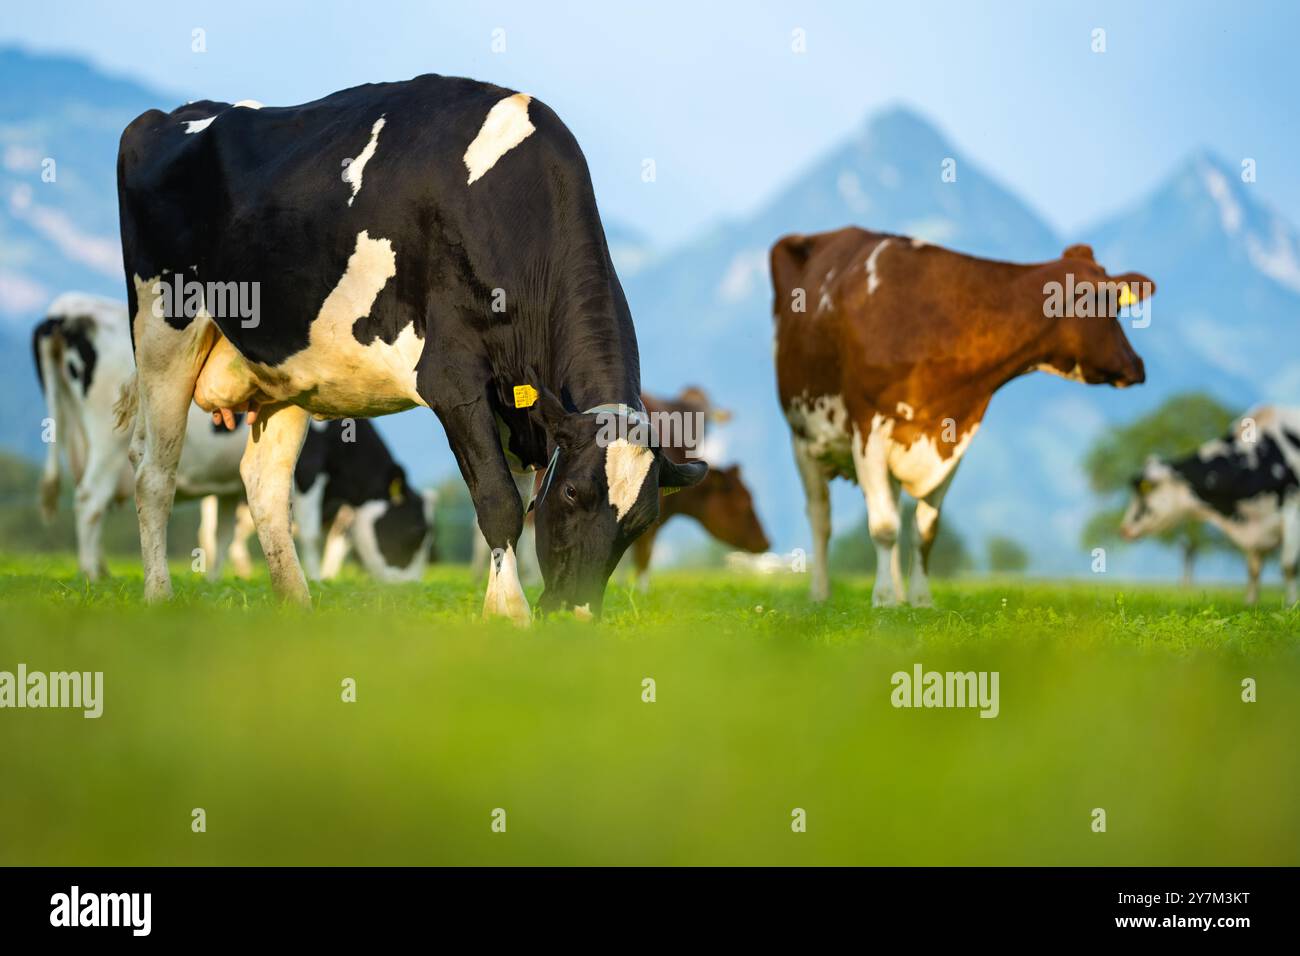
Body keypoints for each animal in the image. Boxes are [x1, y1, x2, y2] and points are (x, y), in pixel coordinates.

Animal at [116, 74, 705, 621]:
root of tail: (168, 115)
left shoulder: (515, 404)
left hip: (285, 369)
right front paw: (512, 616)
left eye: (640, 522)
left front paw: (500, 608)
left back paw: (297, 605)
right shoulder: (453, 381)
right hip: (163, 328)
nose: (576, 616)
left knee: (264, 486)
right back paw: (159, 596)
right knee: (153, 473)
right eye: (572, 494)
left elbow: (512, 505)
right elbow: (498, 500)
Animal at [772, 230, 1150, 607]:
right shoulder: (868, 428)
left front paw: (919, 599)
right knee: (821, 517)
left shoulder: (952, 437)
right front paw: (883, 599)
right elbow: (883, 527)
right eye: (1111, 307)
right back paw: (821, 594)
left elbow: (924, 529)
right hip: (802, 437)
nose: (1137, 365)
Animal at [1120, 405, 1300, 606]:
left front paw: (1291, 605)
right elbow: (1253, 569)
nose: (1124, 529)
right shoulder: (1253, 529)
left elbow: (1289, 565)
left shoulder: (1293, 509)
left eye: (1145, 491)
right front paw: (1250, 603)